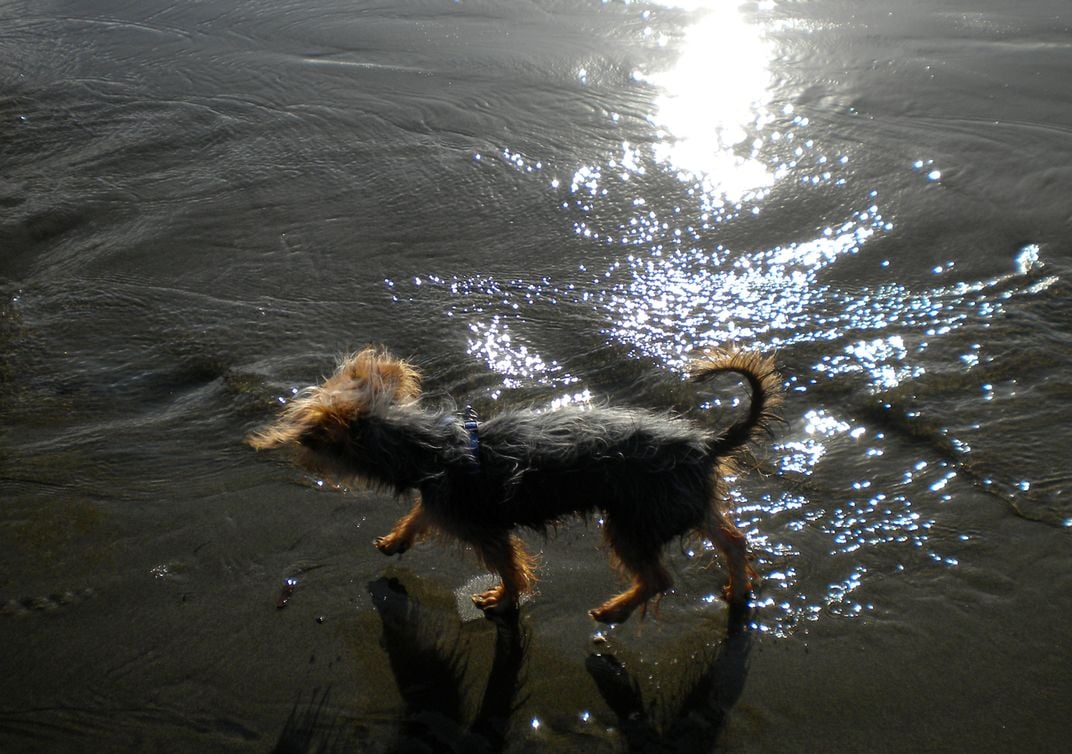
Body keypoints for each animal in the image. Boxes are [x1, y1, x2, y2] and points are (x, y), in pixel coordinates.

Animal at [251, 347, 788, 626]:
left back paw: (615, 610)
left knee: (659, 578)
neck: (433, 449)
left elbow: (510, 570)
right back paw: (738, 590)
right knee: (733, 541)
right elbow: (418, 516)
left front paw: (502, 601)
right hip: (686, 506)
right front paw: (396, 540)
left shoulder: (483, 529)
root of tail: (707, 443)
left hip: (631, 523)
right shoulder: (442, 505)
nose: (286, 441)